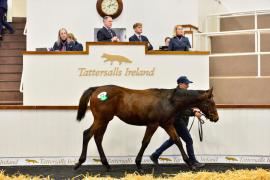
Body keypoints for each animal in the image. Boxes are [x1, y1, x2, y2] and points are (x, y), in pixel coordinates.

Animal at [74, 85, 219, 171]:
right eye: (210, 102)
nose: (216, 118)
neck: (168, 101)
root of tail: (97, 89)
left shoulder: (167, 124)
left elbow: (177, 140)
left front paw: (190, 163)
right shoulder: (153, 124)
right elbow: (145, 142)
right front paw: (138, 164)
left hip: (104, 121)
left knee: (98, 138)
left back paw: (106, 164)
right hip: (101, 119)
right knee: (87, 134)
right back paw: (79, 163)